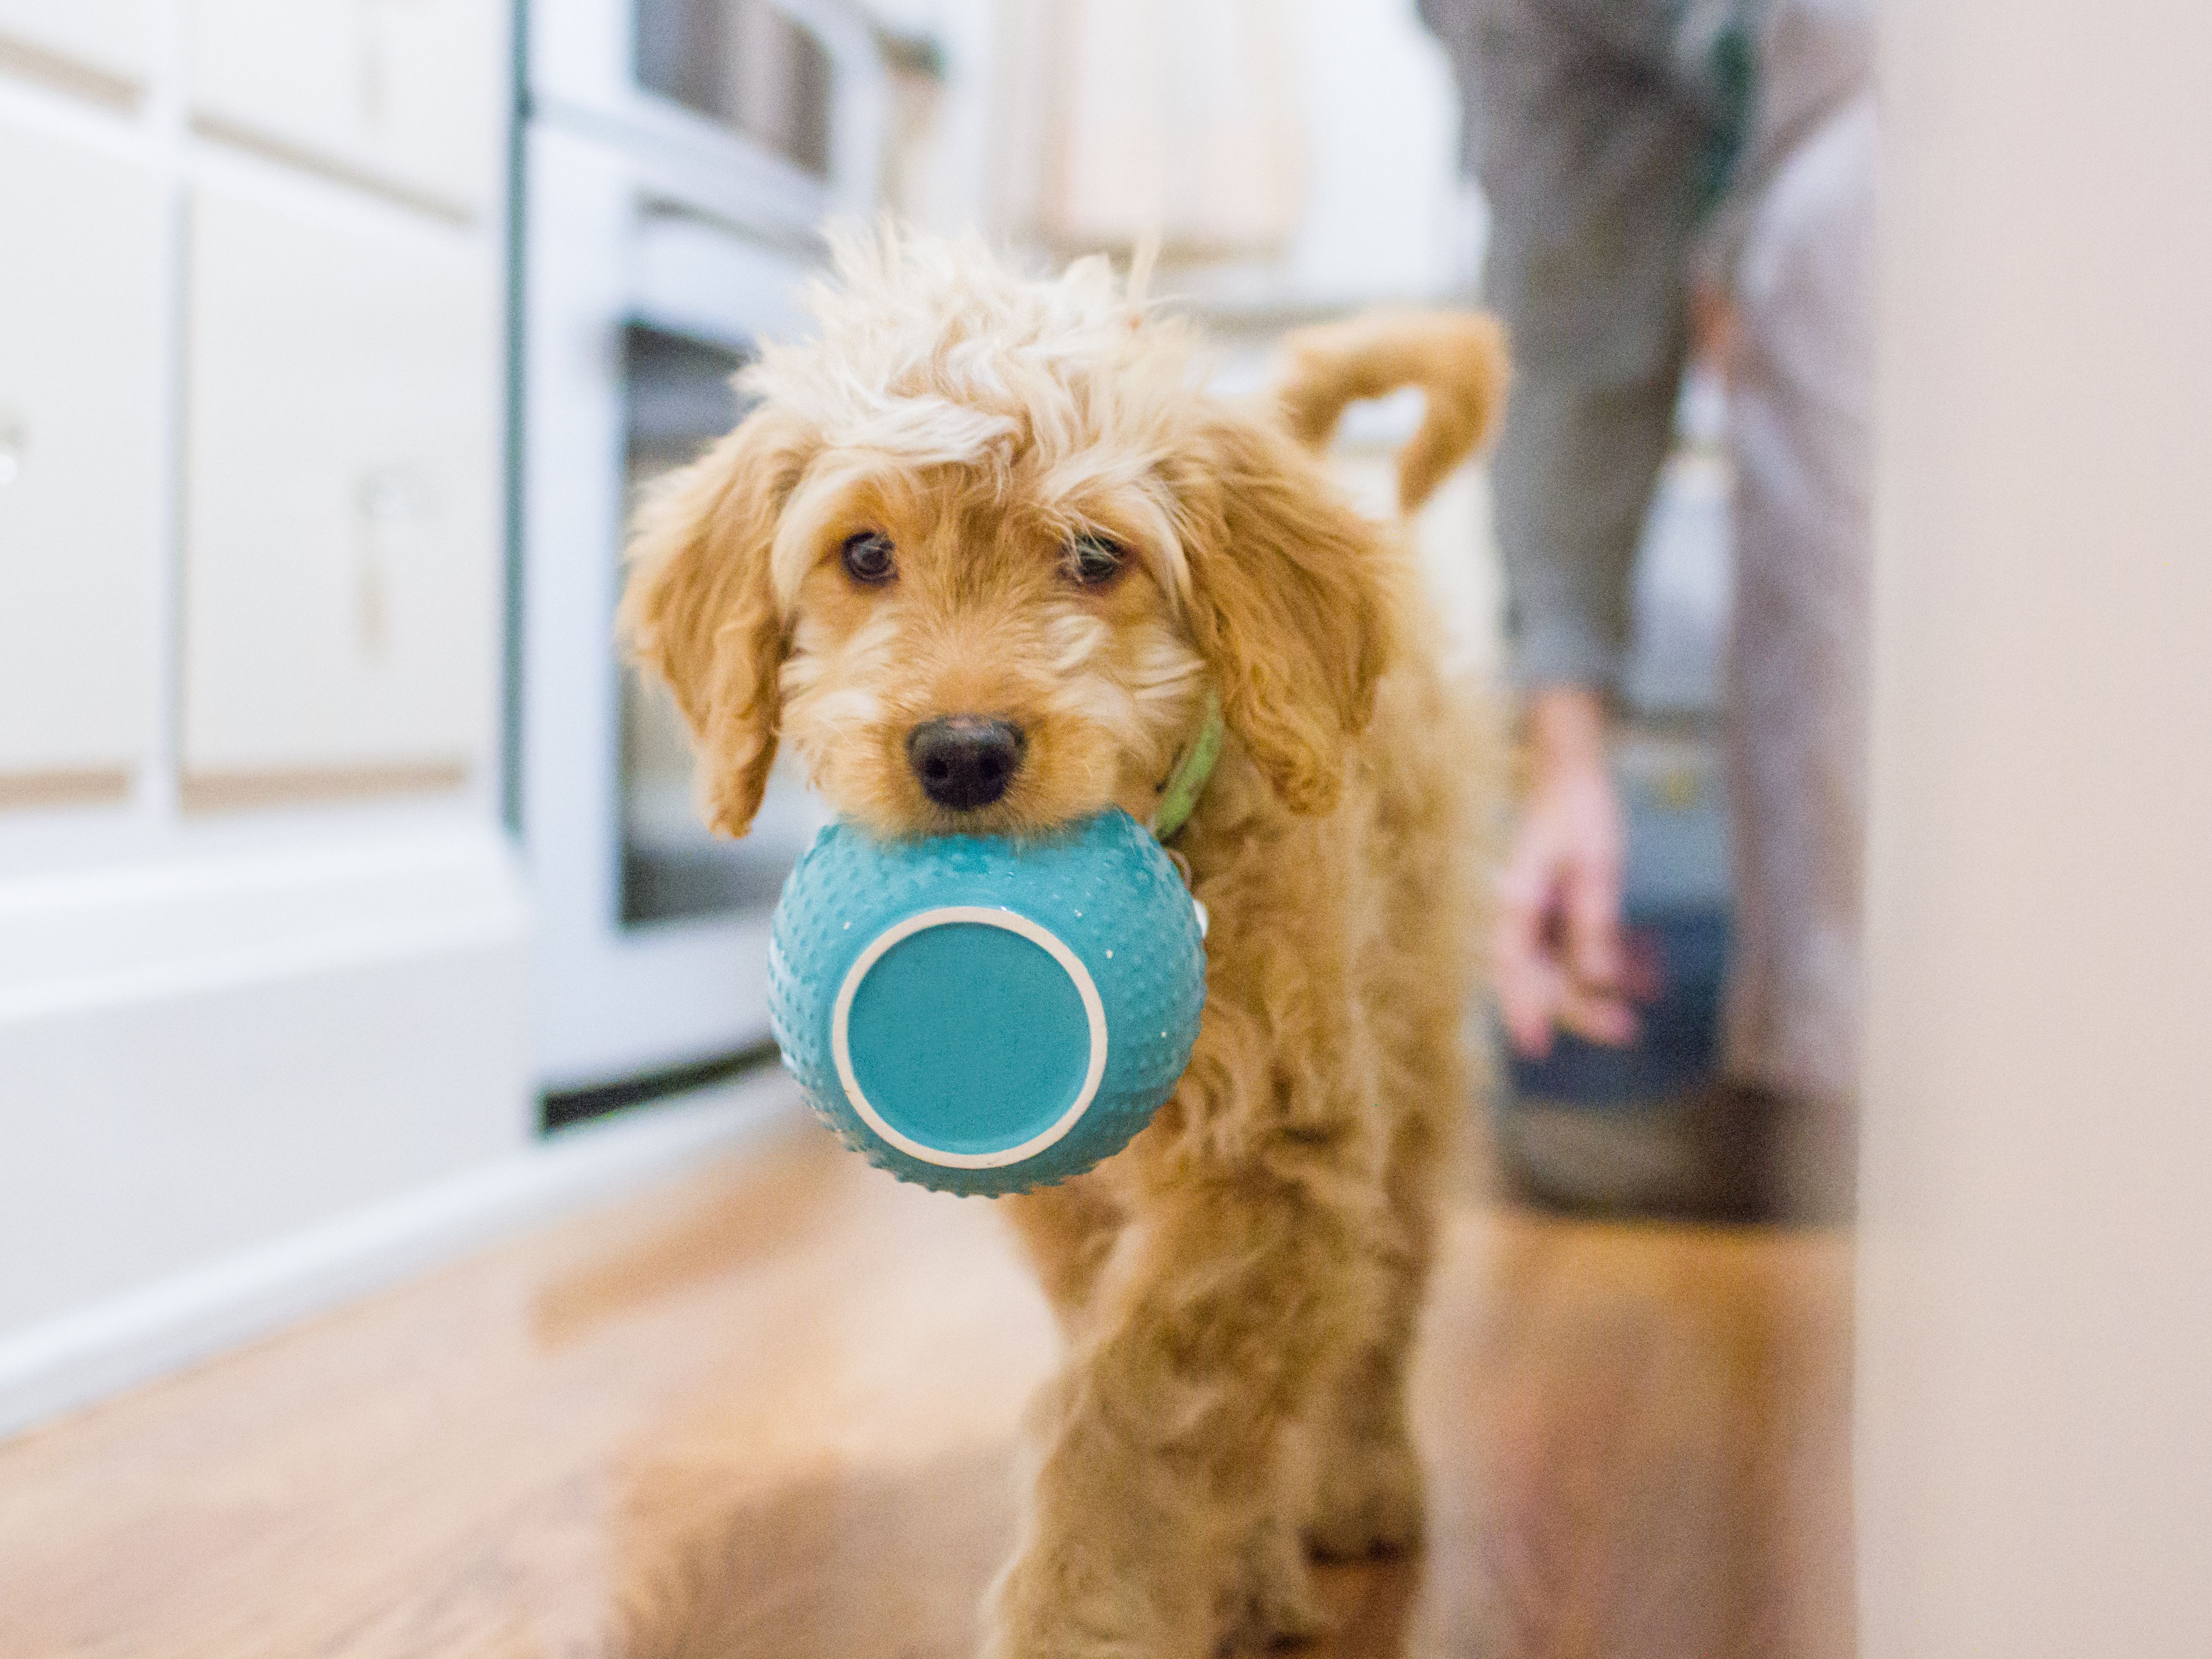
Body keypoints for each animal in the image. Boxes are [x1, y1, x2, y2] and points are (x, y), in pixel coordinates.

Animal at [633, 234, 1513, 1659]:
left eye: (1096, 556)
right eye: (864, 552)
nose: (962, 752)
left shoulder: (1276, 1154)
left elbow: (1139, 1395)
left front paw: (1081, 1610)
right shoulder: (1068, 1193)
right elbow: (1148, 1365)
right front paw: (1221, 1571)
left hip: (1412, 1040)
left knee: (1387, 1284)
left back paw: (1359, 1479)